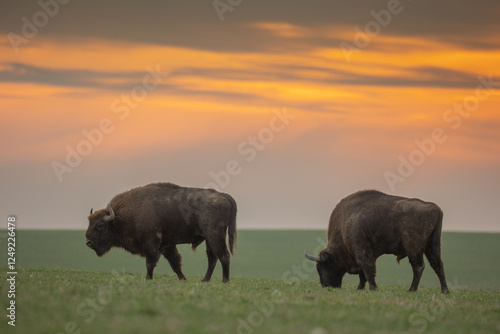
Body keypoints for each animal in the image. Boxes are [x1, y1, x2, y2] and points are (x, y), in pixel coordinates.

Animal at [85, 184, 236, 284]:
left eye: (100, 225)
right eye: (89, 222)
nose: (88, 241)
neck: (120, 218)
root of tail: (224, 196)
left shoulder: (152, 243)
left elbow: (150, 263)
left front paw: (148, 279)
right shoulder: (167, 245)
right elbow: (175, 263)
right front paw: (183, 279)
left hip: (214, 235)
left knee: (223, 255)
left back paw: (225, 281)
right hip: (209, 239)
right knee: (213, 258)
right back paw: (205, 280)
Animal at [304, 189, 450, 294]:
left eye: (323, 266)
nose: (326, 286)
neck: (344, 221)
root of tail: (434, 207)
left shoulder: (362, 250)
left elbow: (367, 269)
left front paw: (373, 288)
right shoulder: (369, 253)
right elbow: (364, 272)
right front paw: (360, 288)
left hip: (414, 248)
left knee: (418, 266)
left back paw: (411, 290)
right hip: (432, 246)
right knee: (437, 265)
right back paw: (444, 291)